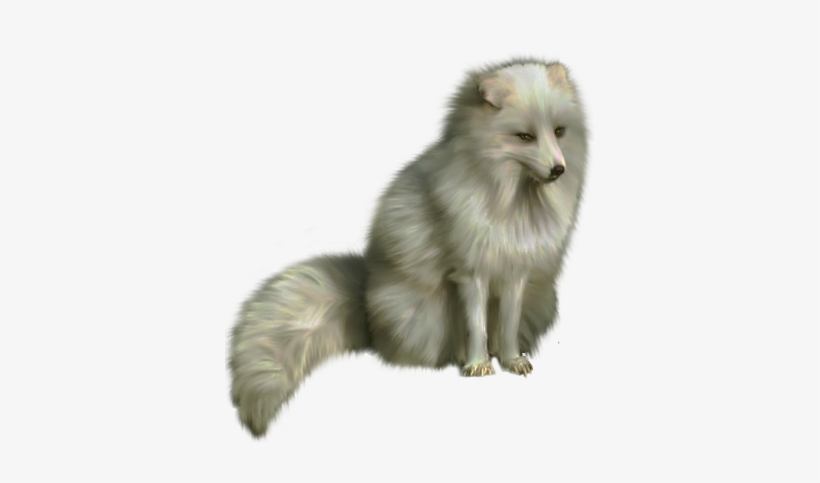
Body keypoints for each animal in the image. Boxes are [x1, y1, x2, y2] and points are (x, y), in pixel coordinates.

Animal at [229, 58, 589, 437]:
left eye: (559, 132)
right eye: (525, 137)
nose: (558, 169)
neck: (514, 203)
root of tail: (364, 299)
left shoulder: (516, 271)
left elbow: (507, 325)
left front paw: (510, 359)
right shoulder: (470, 272)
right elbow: (476, 325)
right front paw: (477, 364)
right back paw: (455, 356)